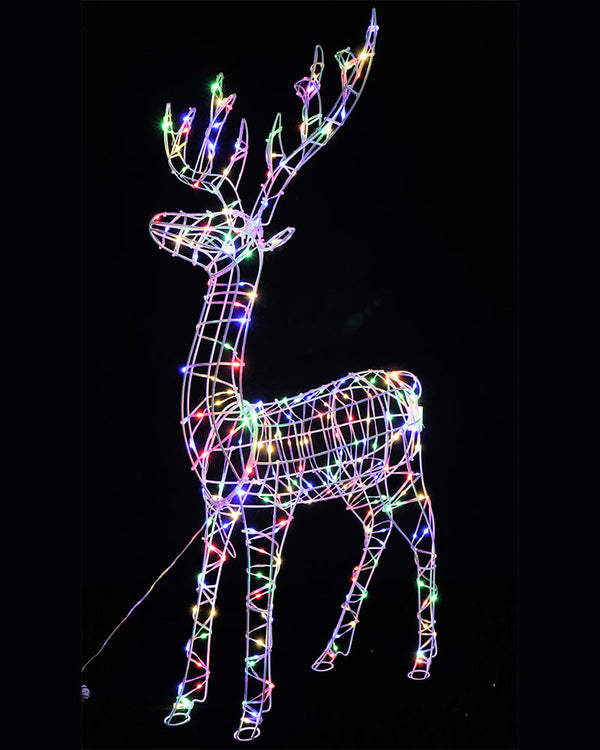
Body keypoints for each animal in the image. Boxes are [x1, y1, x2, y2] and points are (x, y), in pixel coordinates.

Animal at [148, 8, 437, 741]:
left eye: (223, 228)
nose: (161, 220)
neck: (227, 421)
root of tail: (409, 381)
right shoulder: (216, 511)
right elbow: (204, 597)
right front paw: (183, 704)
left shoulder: (267, 513)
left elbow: (259, 606)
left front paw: (250, 717)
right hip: (361, 483)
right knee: (378, 529)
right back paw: (330, 654)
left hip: (405, 467)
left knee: (424, 528)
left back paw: (423, 661)